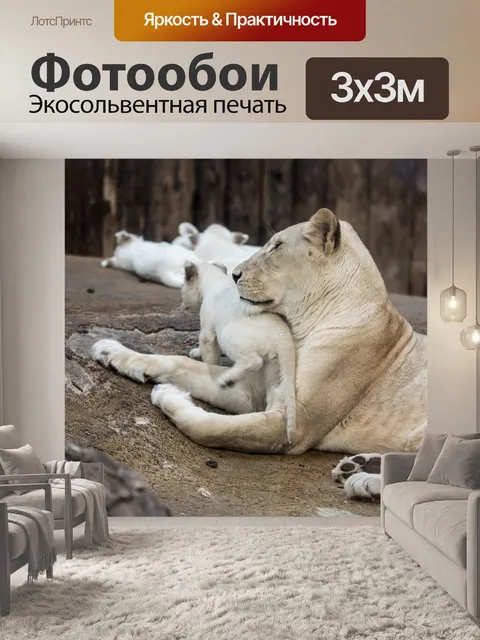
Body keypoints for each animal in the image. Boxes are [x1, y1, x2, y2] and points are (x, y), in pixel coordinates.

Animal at [92, 209, 427, 499]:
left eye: (276, 246)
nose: (235, 274)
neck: (297, 326)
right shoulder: (252, 393)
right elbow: (180, 364)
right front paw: (113, 352)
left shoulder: (295, 424)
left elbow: (213, 429)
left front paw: (169, 397)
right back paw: (357, 466)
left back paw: (364, 481)